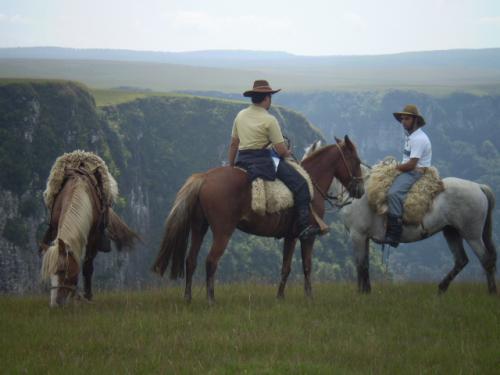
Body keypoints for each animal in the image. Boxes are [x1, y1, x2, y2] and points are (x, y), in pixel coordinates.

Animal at [40, 157, 138, 306]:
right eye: (50, 272)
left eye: (64, 271)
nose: (55, 304)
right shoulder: (57, 229)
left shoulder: (93, 238)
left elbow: (87, 267)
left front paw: (87, 296)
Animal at [151, 137, 364, 304]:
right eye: (356, 160)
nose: (360, 190)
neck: (312, 183)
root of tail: (204, 178)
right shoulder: (307, 236)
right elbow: (307, 266)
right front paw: (309, 297)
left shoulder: (291, 236)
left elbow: (286, 267)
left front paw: (280, 297)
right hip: (223, 231)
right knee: (211, 261)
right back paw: (211, 299)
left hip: (199, 228)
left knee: (191, 260)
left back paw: (188, 298)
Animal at [304, 142, 496, 296]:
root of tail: (479, 187)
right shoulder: (364, 237)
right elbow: (365, 265)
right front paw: (366, 292)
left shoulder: (357, 235)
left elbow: (360, 265)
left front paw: (360, 294)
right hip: (451, 231)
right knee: (461, 260)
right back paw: (441, 288)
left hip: (471, 235)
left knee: (486, 260)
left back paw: (491, 292)